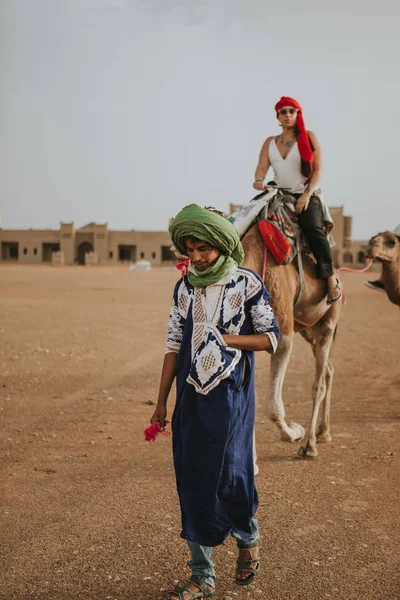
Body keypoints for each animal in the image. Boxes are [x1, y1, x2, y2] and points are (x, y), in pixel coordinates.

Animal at [241, 227, 340, 458]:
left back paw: (309, 445)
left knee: (319, 384)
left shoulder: (283, 333)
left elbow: (273, 409)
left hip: (329, 321)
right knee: (329, 371)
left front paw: (294, 432)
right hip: (309, 330)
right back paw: (324, 432)